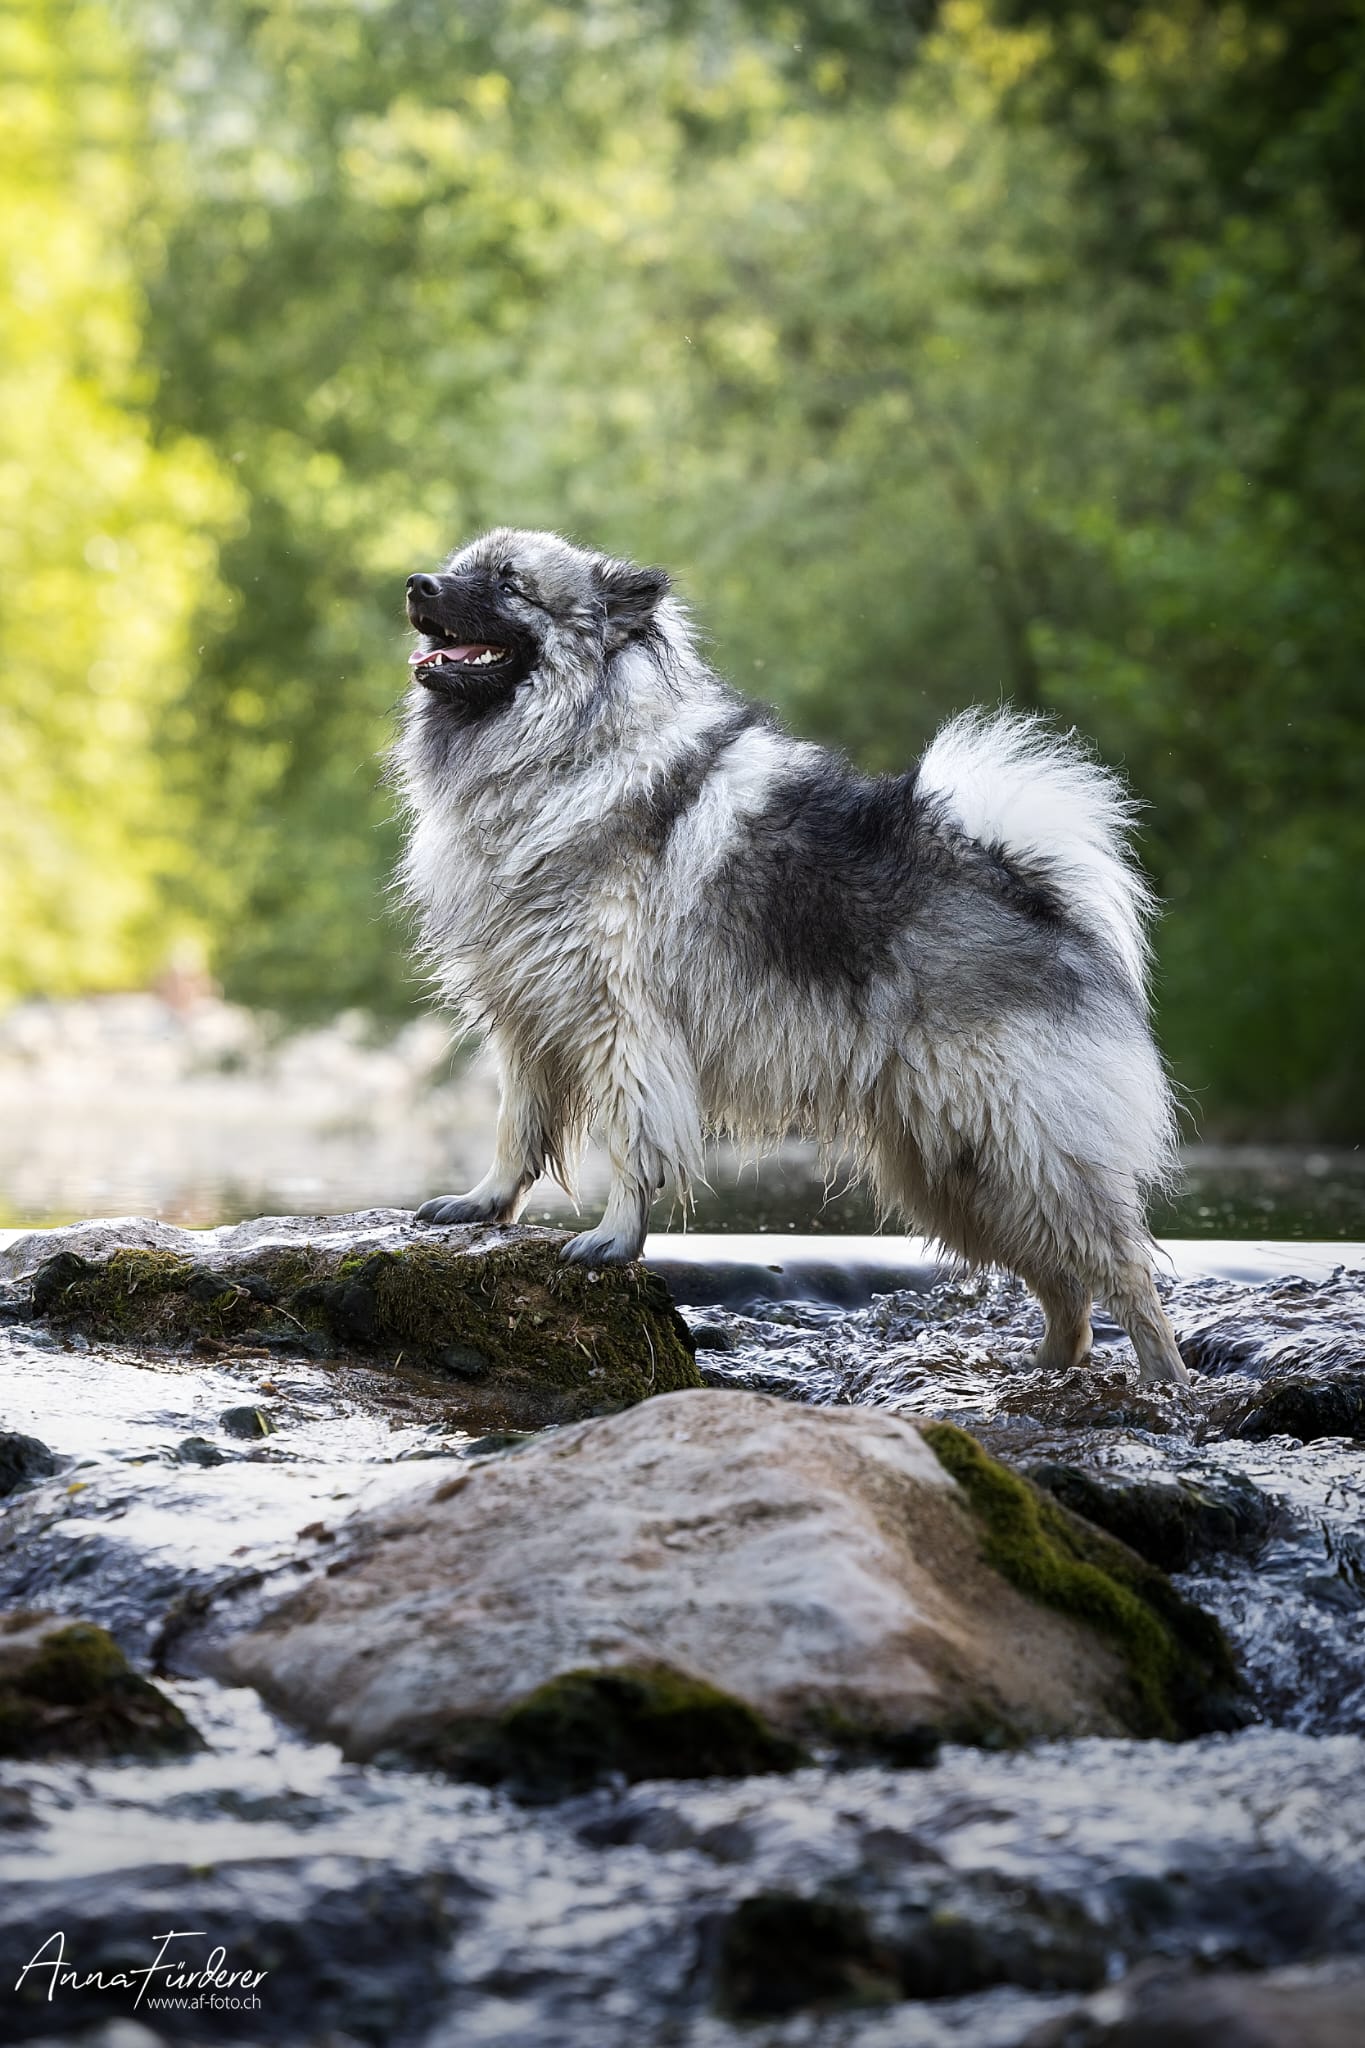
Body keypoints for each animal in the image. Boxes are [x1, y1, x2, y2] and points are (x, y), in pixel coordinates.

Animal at [388, 536, 1186, 1384]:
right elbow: (516, 1131)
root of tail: (1032, 889)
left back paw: (1162, 1384)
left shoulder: (624, 1025)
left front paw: (613, 1238)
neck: (566, 749)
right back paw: (1045, 1371)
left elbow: (632, 1144)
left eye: (510, 586)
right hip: (958, 1170)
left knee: (1125, 1275)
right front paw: (483, 1204)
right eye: (459, 567)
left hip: (1025, 1148)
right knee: (1066, 1289)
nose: (418, 584)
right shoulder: (528, 1019)